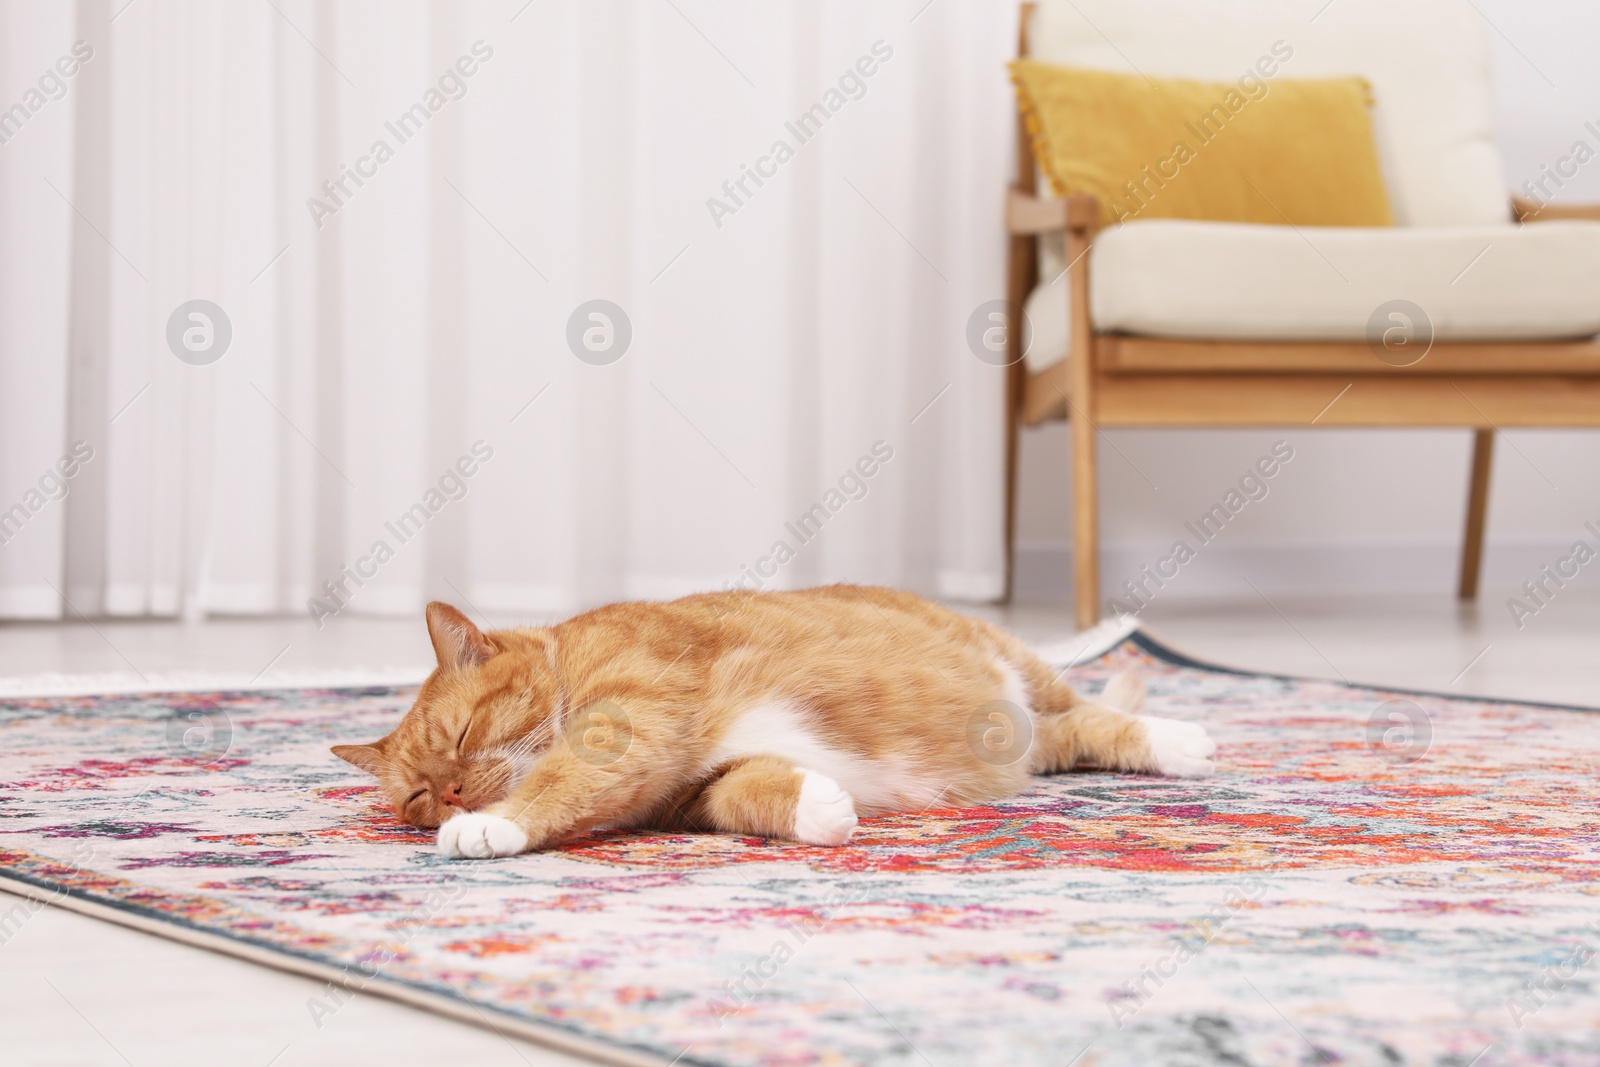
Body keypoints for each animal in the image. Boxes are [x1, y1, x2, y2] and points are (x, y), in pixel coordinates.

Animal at [334, 585, 1209, 857]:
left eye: (461, 736)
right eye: (416, 795)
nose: (451, 797)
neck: (571, 663)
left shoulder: (629, 721)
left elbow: (560, 779)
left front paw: (493, 824)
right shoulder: (695, 792)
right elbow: (746, 792)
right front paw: (821, 807)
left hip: (1017, 664)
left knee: (1093, 712)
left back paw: (1182, 737)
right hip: (1021, 731)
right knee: (1074, 734)